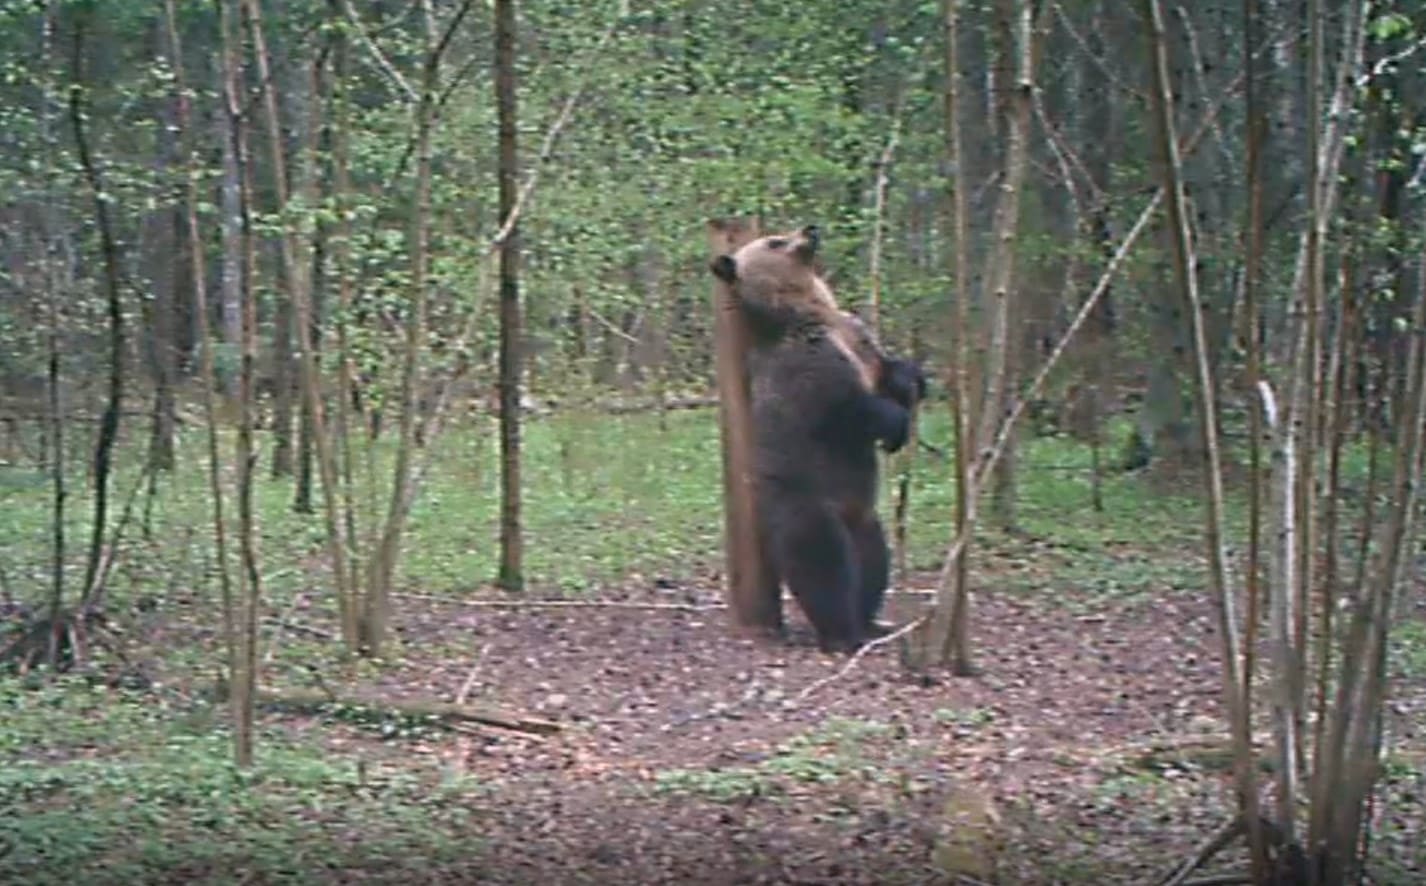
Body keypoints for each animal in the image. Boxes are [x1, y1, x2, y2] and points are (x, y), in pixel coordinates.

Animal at [710, 225, 925, 652]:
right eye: (775, 241)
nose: (810, 230)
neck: (808, 311)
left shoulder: (857, 337)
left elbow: (888, 370)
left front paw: (914, 381)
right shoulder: (807, 363)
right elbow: (845, 410)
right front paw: (895, 426)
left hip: (861, 513)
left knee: (873, 560)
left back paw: (869, 621)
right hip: (802, 500)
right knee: (822, 562)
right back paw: (842, 632)